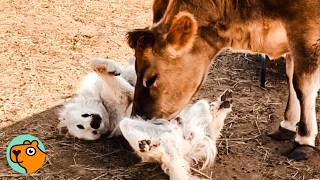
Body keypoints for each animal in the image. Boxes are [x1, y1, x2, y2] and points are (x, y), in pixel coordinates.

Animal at [127, 0, 320, 160]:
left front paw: (304, 139)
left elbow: (302, 86)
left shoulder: (306, 32)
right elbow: (291, 78)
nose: (138, 120)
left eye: (150, 79)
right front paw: (288, 125)